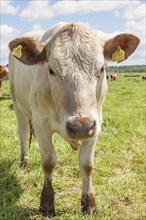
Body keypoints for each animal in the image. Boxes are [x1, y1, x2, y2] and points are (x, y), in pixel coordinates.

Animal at [8, 22, 140, 217]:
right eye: (51, 70)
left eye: (101, 69)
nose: (80, 127)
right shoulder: (41, 123)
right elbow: (48, 162)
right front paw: (47, 203)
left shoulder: (95, 123)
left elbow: (87, 164)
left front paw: (89, 204)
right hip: (18, 105)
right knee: (23, 132)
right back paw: (24, 163)